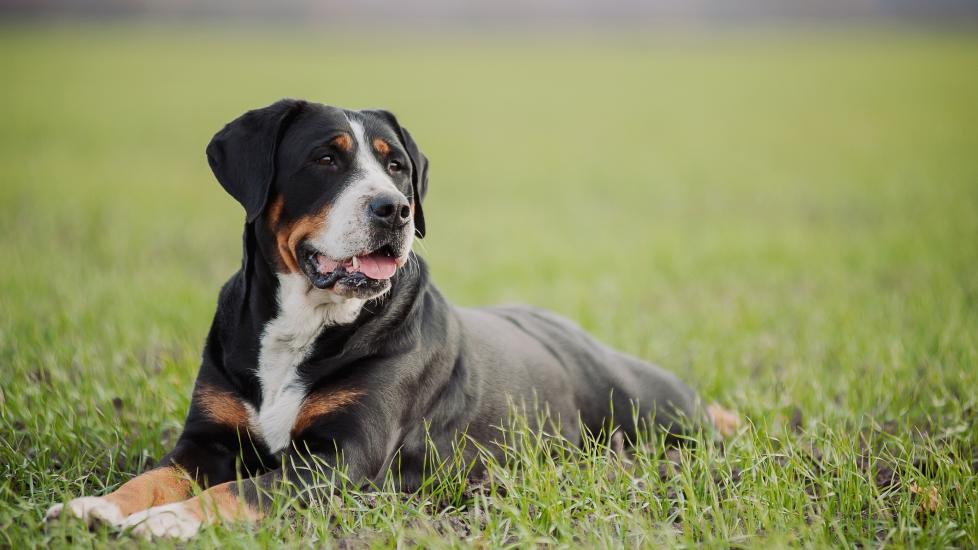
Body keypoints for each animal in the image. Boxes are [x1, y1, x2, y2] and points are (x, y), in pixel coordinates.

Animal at [45, 100, 712, 544]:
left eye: (397, 168)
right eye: (325, 158)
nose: (395, 209)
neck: (302, 325)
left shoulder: (337, 459)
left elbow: (238, 490)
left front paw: (166, 520)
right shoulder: (206, 441)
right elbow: (154, 476)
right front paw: (97, 507)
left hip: (648, 407)